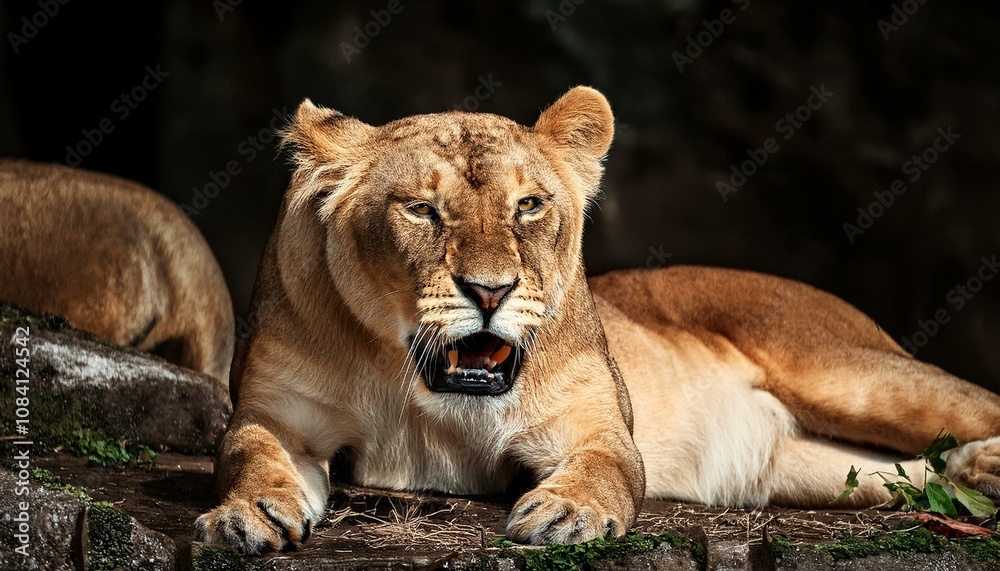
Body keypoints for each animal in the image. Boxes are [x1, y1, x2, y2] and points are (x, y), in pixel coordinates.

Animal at [196, 87, 1000, 553]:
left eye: (528, 205)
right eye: (421, 209)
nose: (489, 291)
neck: (411, 379)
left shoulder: (592, 421)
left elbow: (607, 467)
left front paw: (567, 515)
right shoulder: (278, 413)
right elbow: (251, 453)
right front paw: (247, 515)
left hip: (853, 376)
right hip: (810, 467)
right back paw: (977, 473)